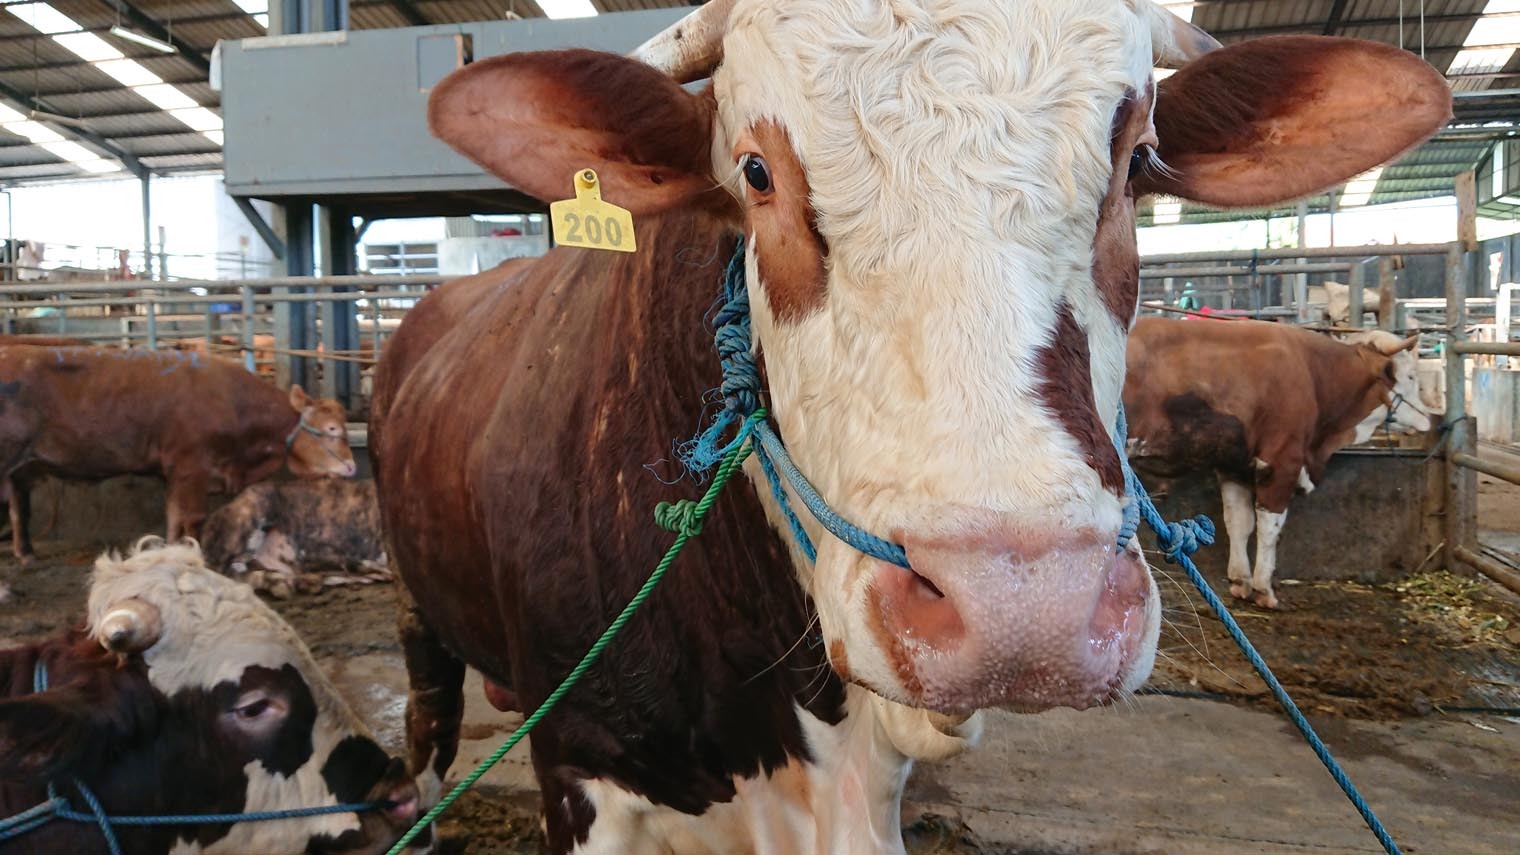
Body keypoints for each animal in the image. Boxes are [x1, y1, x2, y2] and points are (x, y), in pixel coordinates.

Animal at [0, 346, 356, 564]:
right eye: (332, 429)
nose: (352, 467)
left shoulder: (173, 473)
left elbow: (172, 517)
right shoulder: (191, 468)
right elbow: (192, 518)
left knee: (18, 504)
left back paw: (26, 552)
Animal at [1123, 317, 1433, 609]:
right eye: (1411, 375)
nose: (1428, 418)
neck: (1313, 373)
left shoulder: (1234, 466)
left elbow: (1238, 521)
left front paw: (1241, 581)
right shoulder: (1282, 461)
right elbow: (1269, 527)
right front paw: (1264, 589)